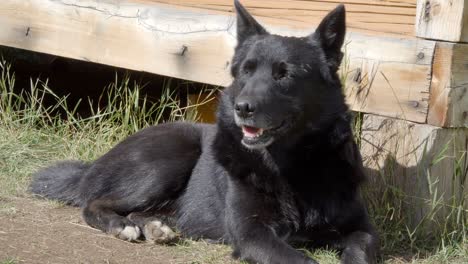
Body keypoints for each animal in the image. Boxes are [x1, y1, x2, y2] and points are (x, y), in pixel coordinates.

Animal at [31, 1, 378, 262]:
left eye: (285, 75)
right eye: (245, 72)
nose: (242, 107)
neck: (290, 167)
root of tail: (93, 165)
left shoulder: (362, 230)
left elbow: (361, 249)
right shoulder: (253, 235)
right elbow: (300, 259)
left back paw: (155, 227)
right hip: (169, 158)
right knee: (94, 203)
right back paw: (121, 225)